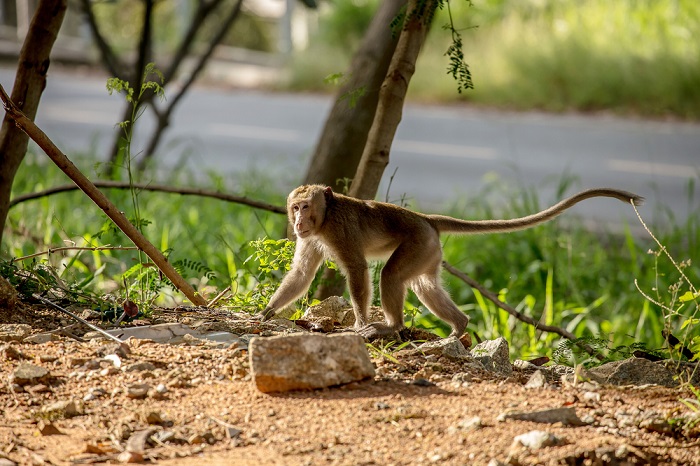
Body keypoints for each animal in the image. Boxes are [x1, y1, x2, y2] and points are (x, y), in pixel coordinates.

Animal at [259, 185, 643, 340]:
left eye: (304, 206)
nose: (297, 220)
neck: (325, 217)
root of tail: (426, 219)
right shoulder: (313, 236)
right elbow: (302, 273)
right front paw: (266, 313)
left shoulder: (339, 230)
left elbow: (356, 269)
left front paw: (360, 322)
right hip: (429, 251)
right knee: (423, 284)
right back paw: (459, 326)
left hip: (418, 242)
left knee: (391, 276)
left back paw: (391, 326)